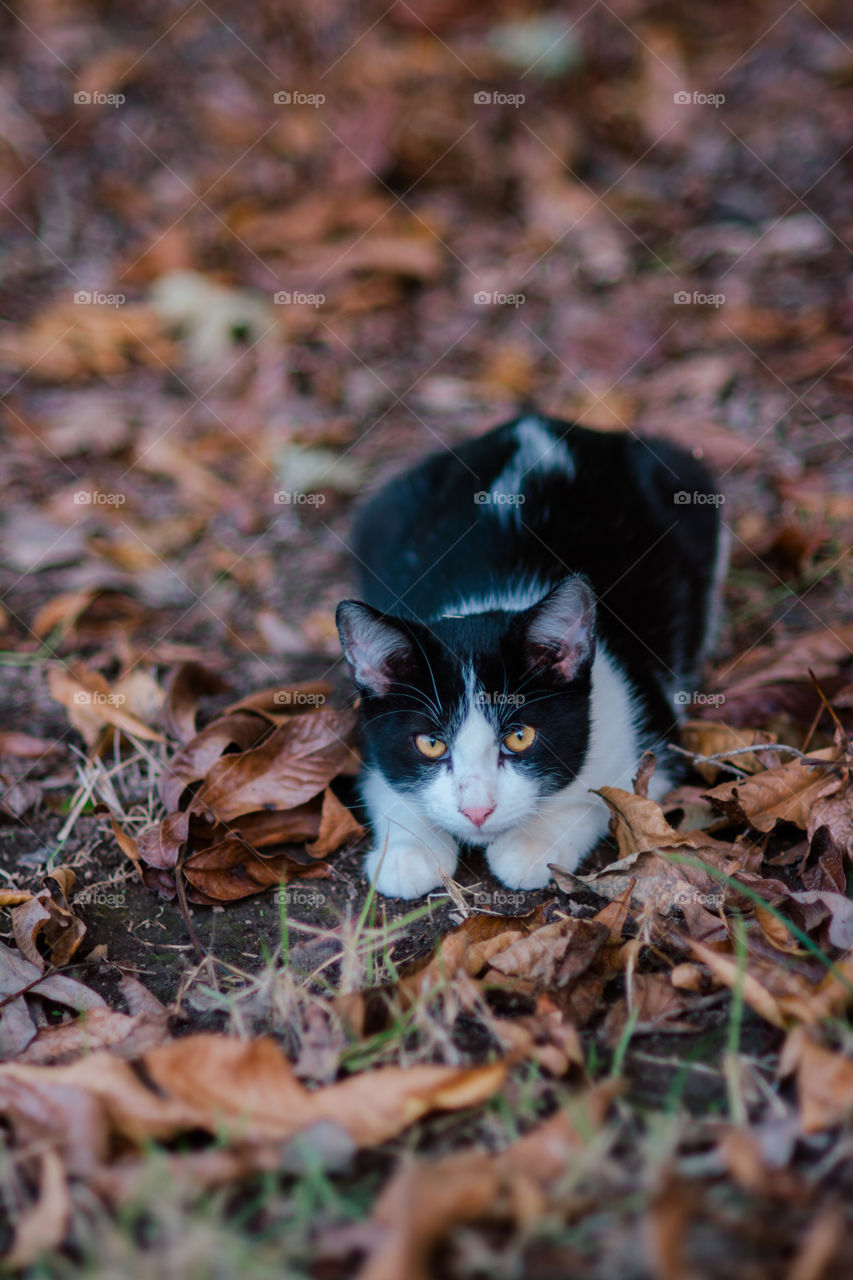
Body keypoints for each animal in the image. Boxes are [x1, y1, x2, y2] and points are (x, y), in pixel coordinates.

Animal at [333, 419, 722, 901]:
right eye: (431, 744)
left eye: (520, 738)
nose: (477, 811)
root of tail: (533, 423)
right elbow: (384, 782)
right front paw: (410, 851)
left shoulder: (649, 726)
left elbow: (606, 793)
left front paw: (533, 843)